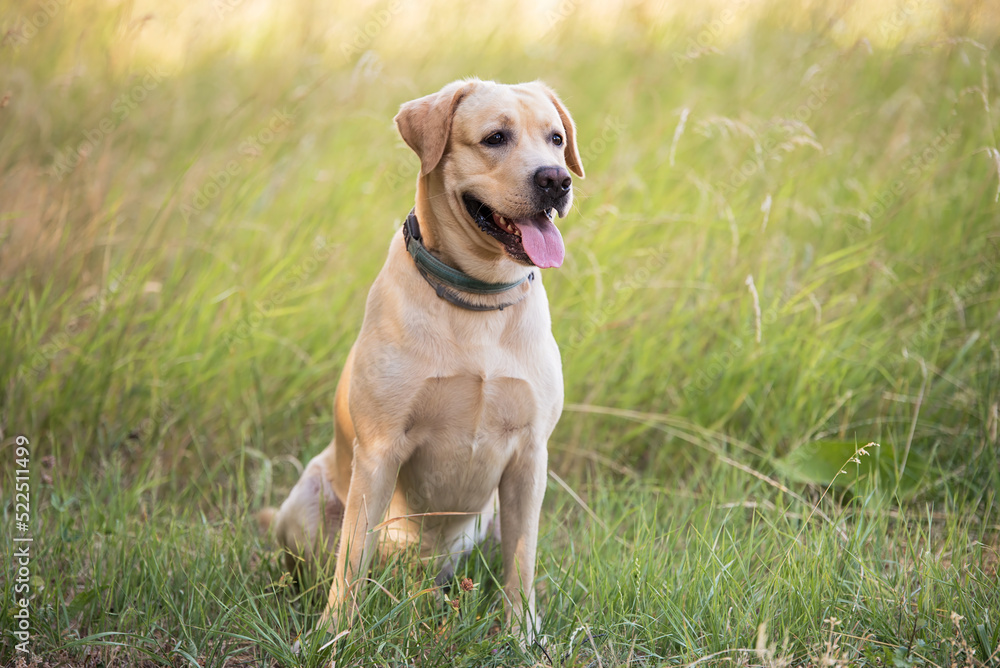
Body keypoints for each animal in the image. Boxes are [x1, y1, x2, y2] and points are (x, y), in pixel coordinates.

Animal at [270, 78, 584, 640]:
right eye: (495, 137)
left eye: (555, 138)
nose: (556, 179)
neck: (477, 297)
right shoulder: (380, 450)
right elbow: (351, 559)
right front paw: (335, 635)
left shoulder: (530, 457)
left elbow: (522, 562)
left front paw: (523, 636)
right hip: (304, 502)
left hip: (491, 515)